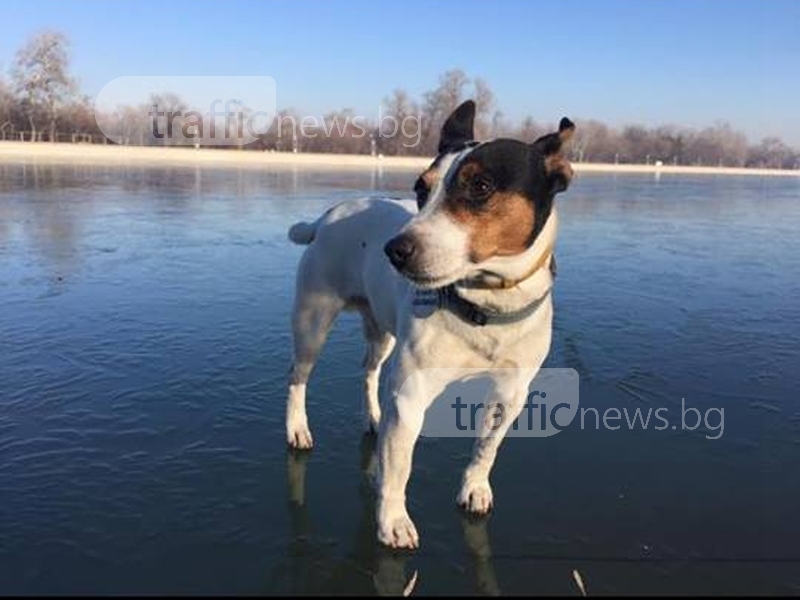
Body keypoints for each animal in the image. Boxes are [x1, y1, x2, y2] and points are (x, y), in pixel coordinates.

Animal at [284, 99, 572, 548]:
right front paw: (393, 521)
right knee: (297, 377)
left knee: (369, 371)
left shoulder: (509, 395)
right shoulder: (410, 398)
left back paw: (373, 417)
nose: (394, 251)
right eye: (420, 188)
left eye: (481, 186)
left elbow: (486, 448)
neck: (485, 306)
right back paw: (297, 429)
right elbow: (398, 469)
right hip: (313, 322)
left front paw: (475, 488)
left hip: (382, 333)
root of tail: (329, 214)